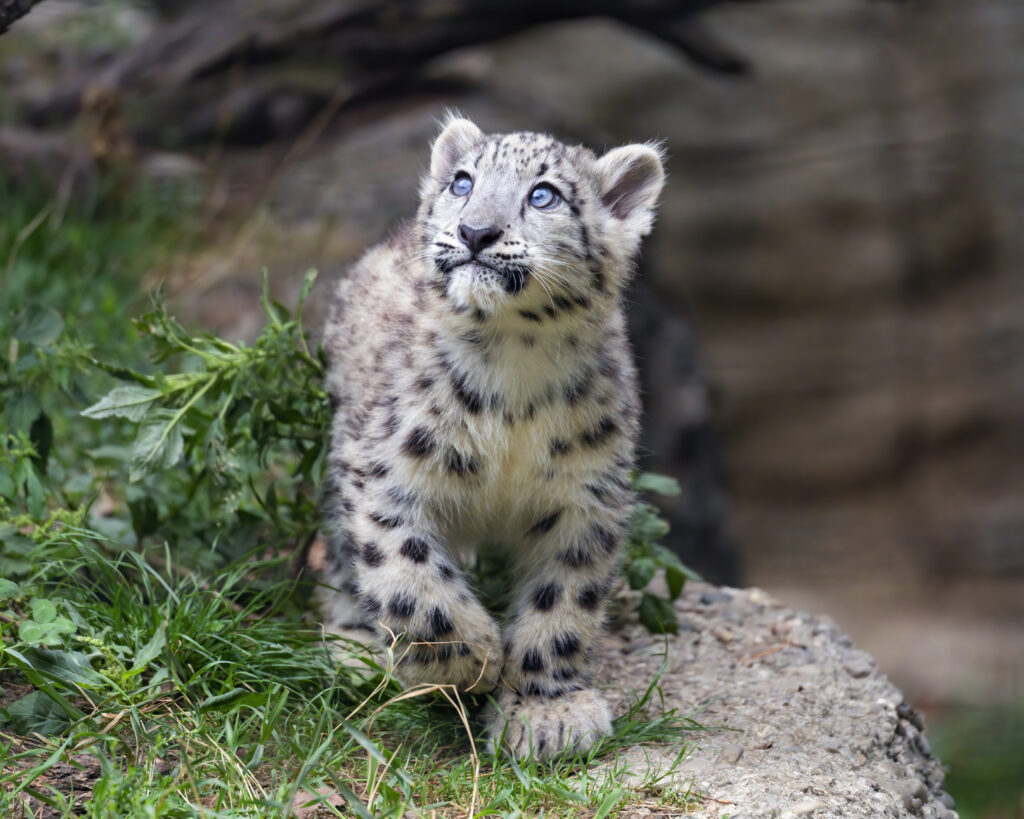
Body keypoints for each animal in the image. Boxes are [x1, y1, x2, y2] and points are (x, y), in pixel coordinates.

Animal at [318, 112, 665, 760]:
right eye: (462, 182)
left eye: (544, 195)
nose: (475, 230)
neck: (514, 370)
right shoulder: (385, 470)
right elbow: (406, 573)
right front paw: (471, 659)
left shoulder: (587, 493)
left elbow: (564, 600)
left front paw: (547, 709)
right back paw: (354, 647)